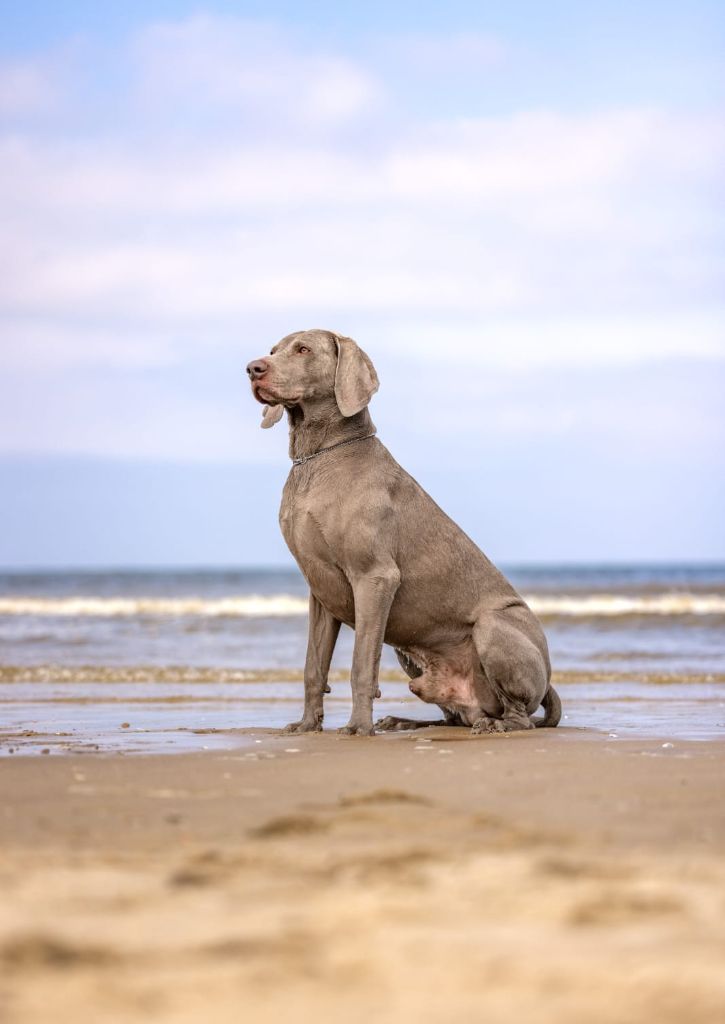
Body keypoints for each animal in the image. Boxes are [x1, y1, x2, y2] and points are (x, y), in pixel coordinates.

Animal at [247, 327, 561, 737]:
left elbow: (362, 666)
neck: (318, 458)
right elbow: (313, 668)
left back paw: (495, 726)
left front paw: (358, 728)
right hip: (409, 654)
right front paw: (306, 725)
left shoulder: (375, 577)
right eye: (273, 350)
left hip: (493, 625)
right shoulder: (319, 591)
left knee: (519, 716)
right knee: (457, 716)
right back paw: (403, 721)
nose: (253, 368)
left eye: (303, 350)